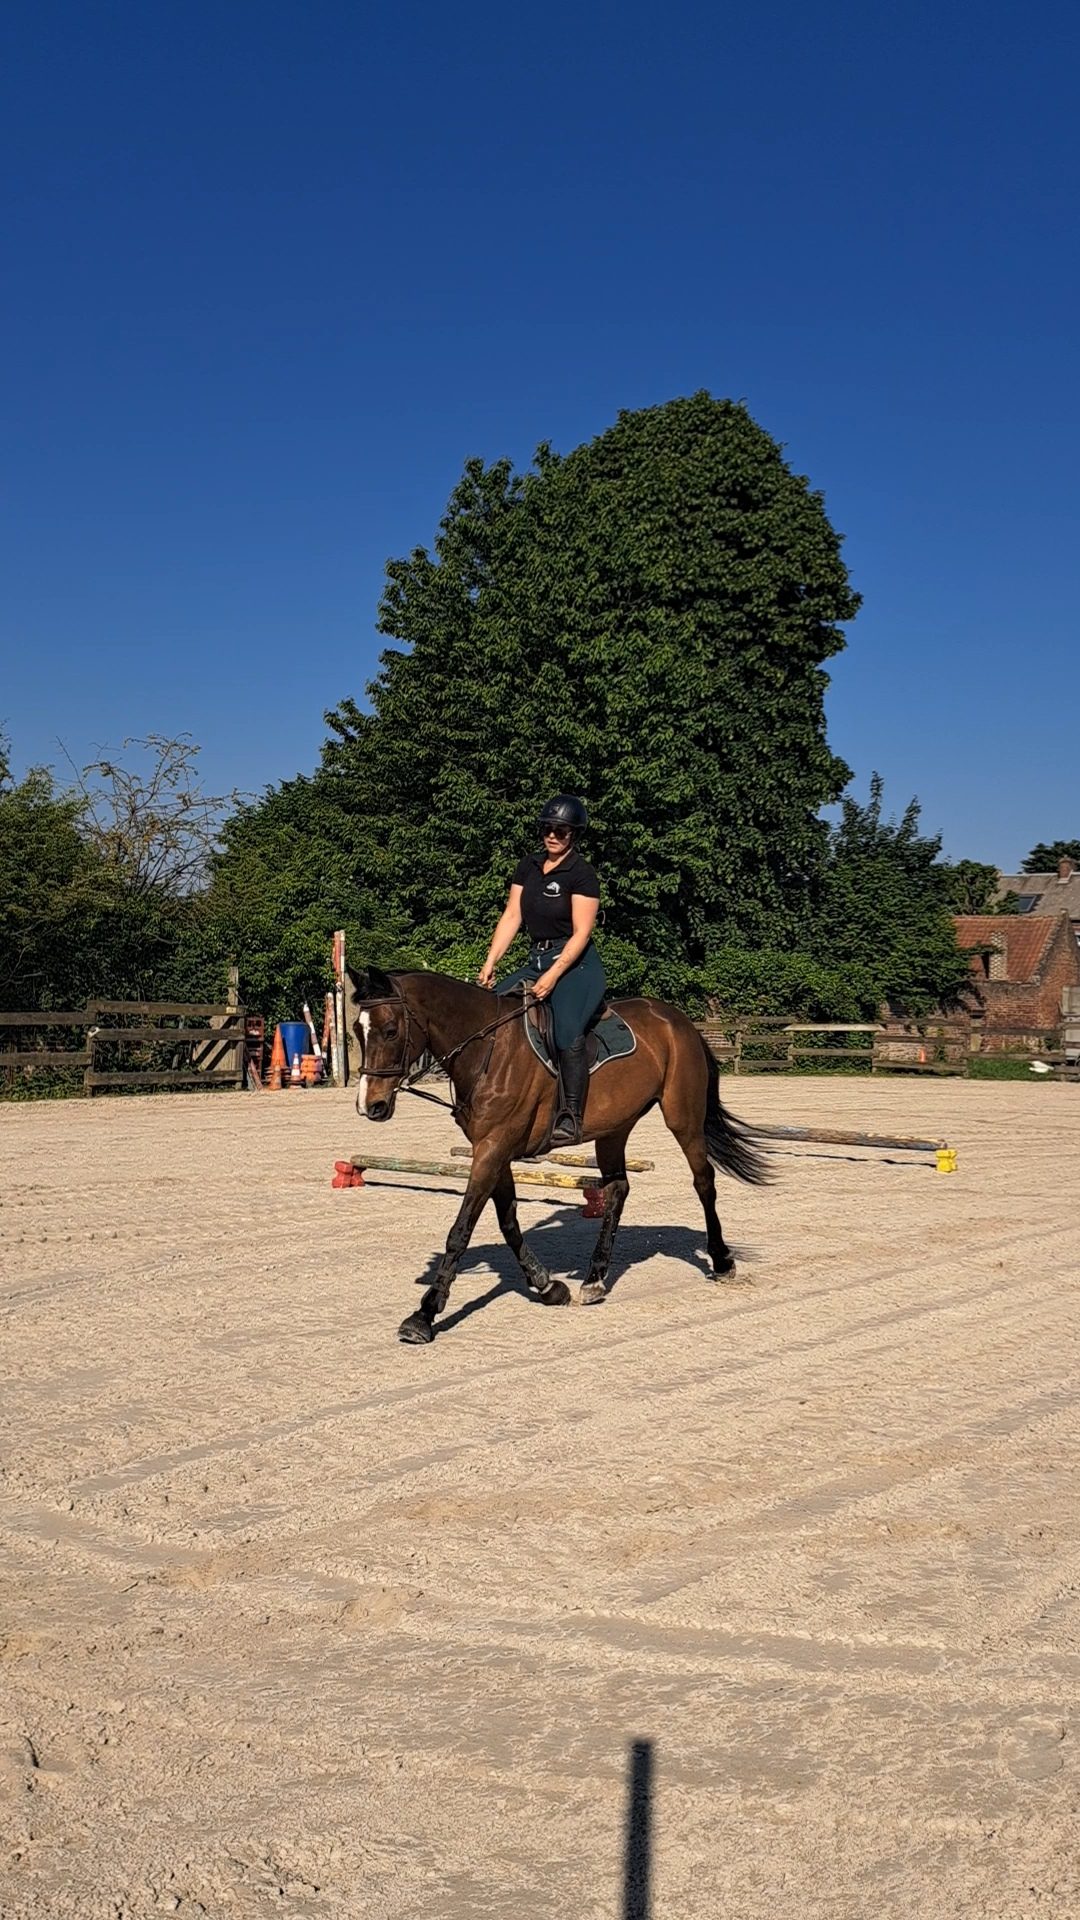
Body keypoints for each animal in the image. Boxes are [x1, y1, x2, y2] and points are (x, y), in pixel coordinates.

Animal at [345, 966, 768, 1344]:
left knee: (703, 1181)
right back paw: (595, 1279)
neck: (487, 1049)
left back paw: (721, 1260)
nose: (370, 1106)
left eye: (390, 1030)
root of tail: (678, 1020)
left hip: (683, 1117)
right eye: (356, 1031)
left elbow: (460, 1231)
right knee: (617, 1190)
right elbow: (509, 1222)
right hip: (614, 1128)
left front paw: (425, 1314)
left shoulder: (493, 1148)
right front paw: (548, 1286)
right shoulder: (492, 1150)